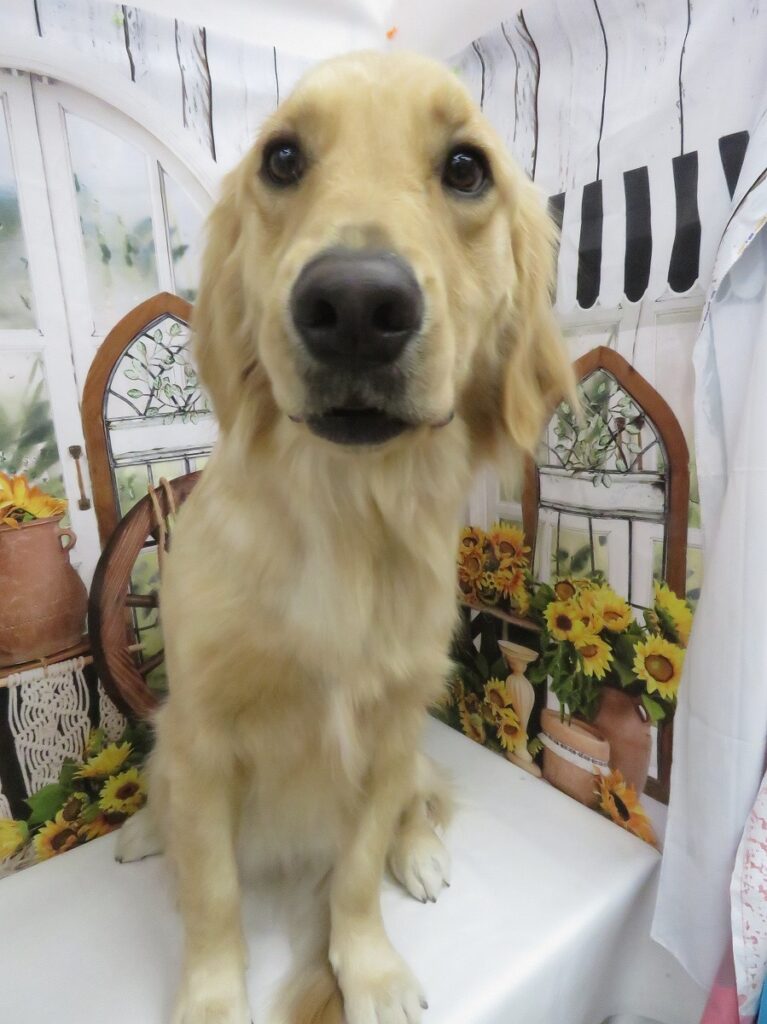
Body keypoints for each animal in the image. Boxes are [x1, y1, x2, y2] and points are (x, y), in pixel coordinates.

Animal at [116, 49, 574, 1024]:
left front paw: (369, 970)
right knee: (164, 793)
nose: (358, 305)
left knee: (415, 806)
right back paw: (141, 827)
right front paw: (212, 997)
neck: (346, 515)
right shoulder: (203, 735)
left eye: (466, 168)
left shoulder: (389, 728)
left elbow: (357, 871)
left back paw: (421, 850)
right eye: (282, 158)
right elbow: (211, 892)